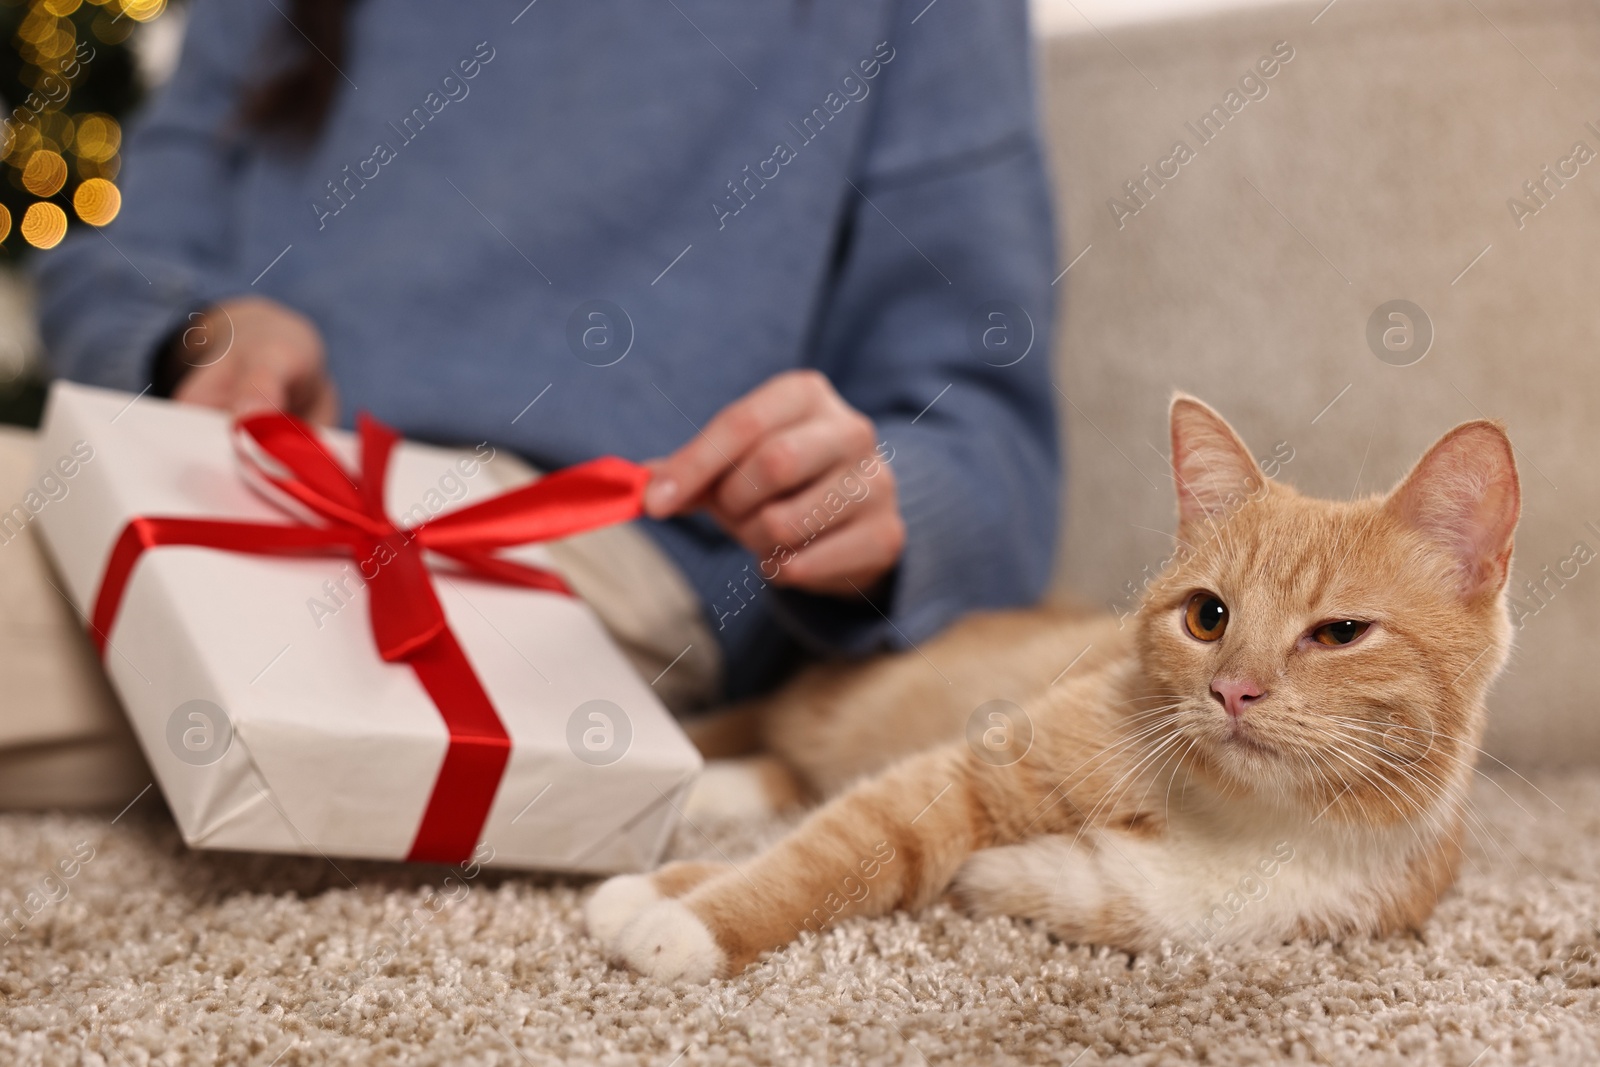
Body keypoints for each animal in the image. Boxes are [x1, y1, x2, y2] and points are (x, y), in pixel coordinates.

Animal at [585, 395, 1510, 985]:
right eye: (1207, 616)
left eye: (1340, 633)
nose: (1234, 691)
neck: (1245, 819)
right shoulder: (956, 775)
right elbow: (829, 852)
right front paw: (683, 914)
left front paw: (663, 899)